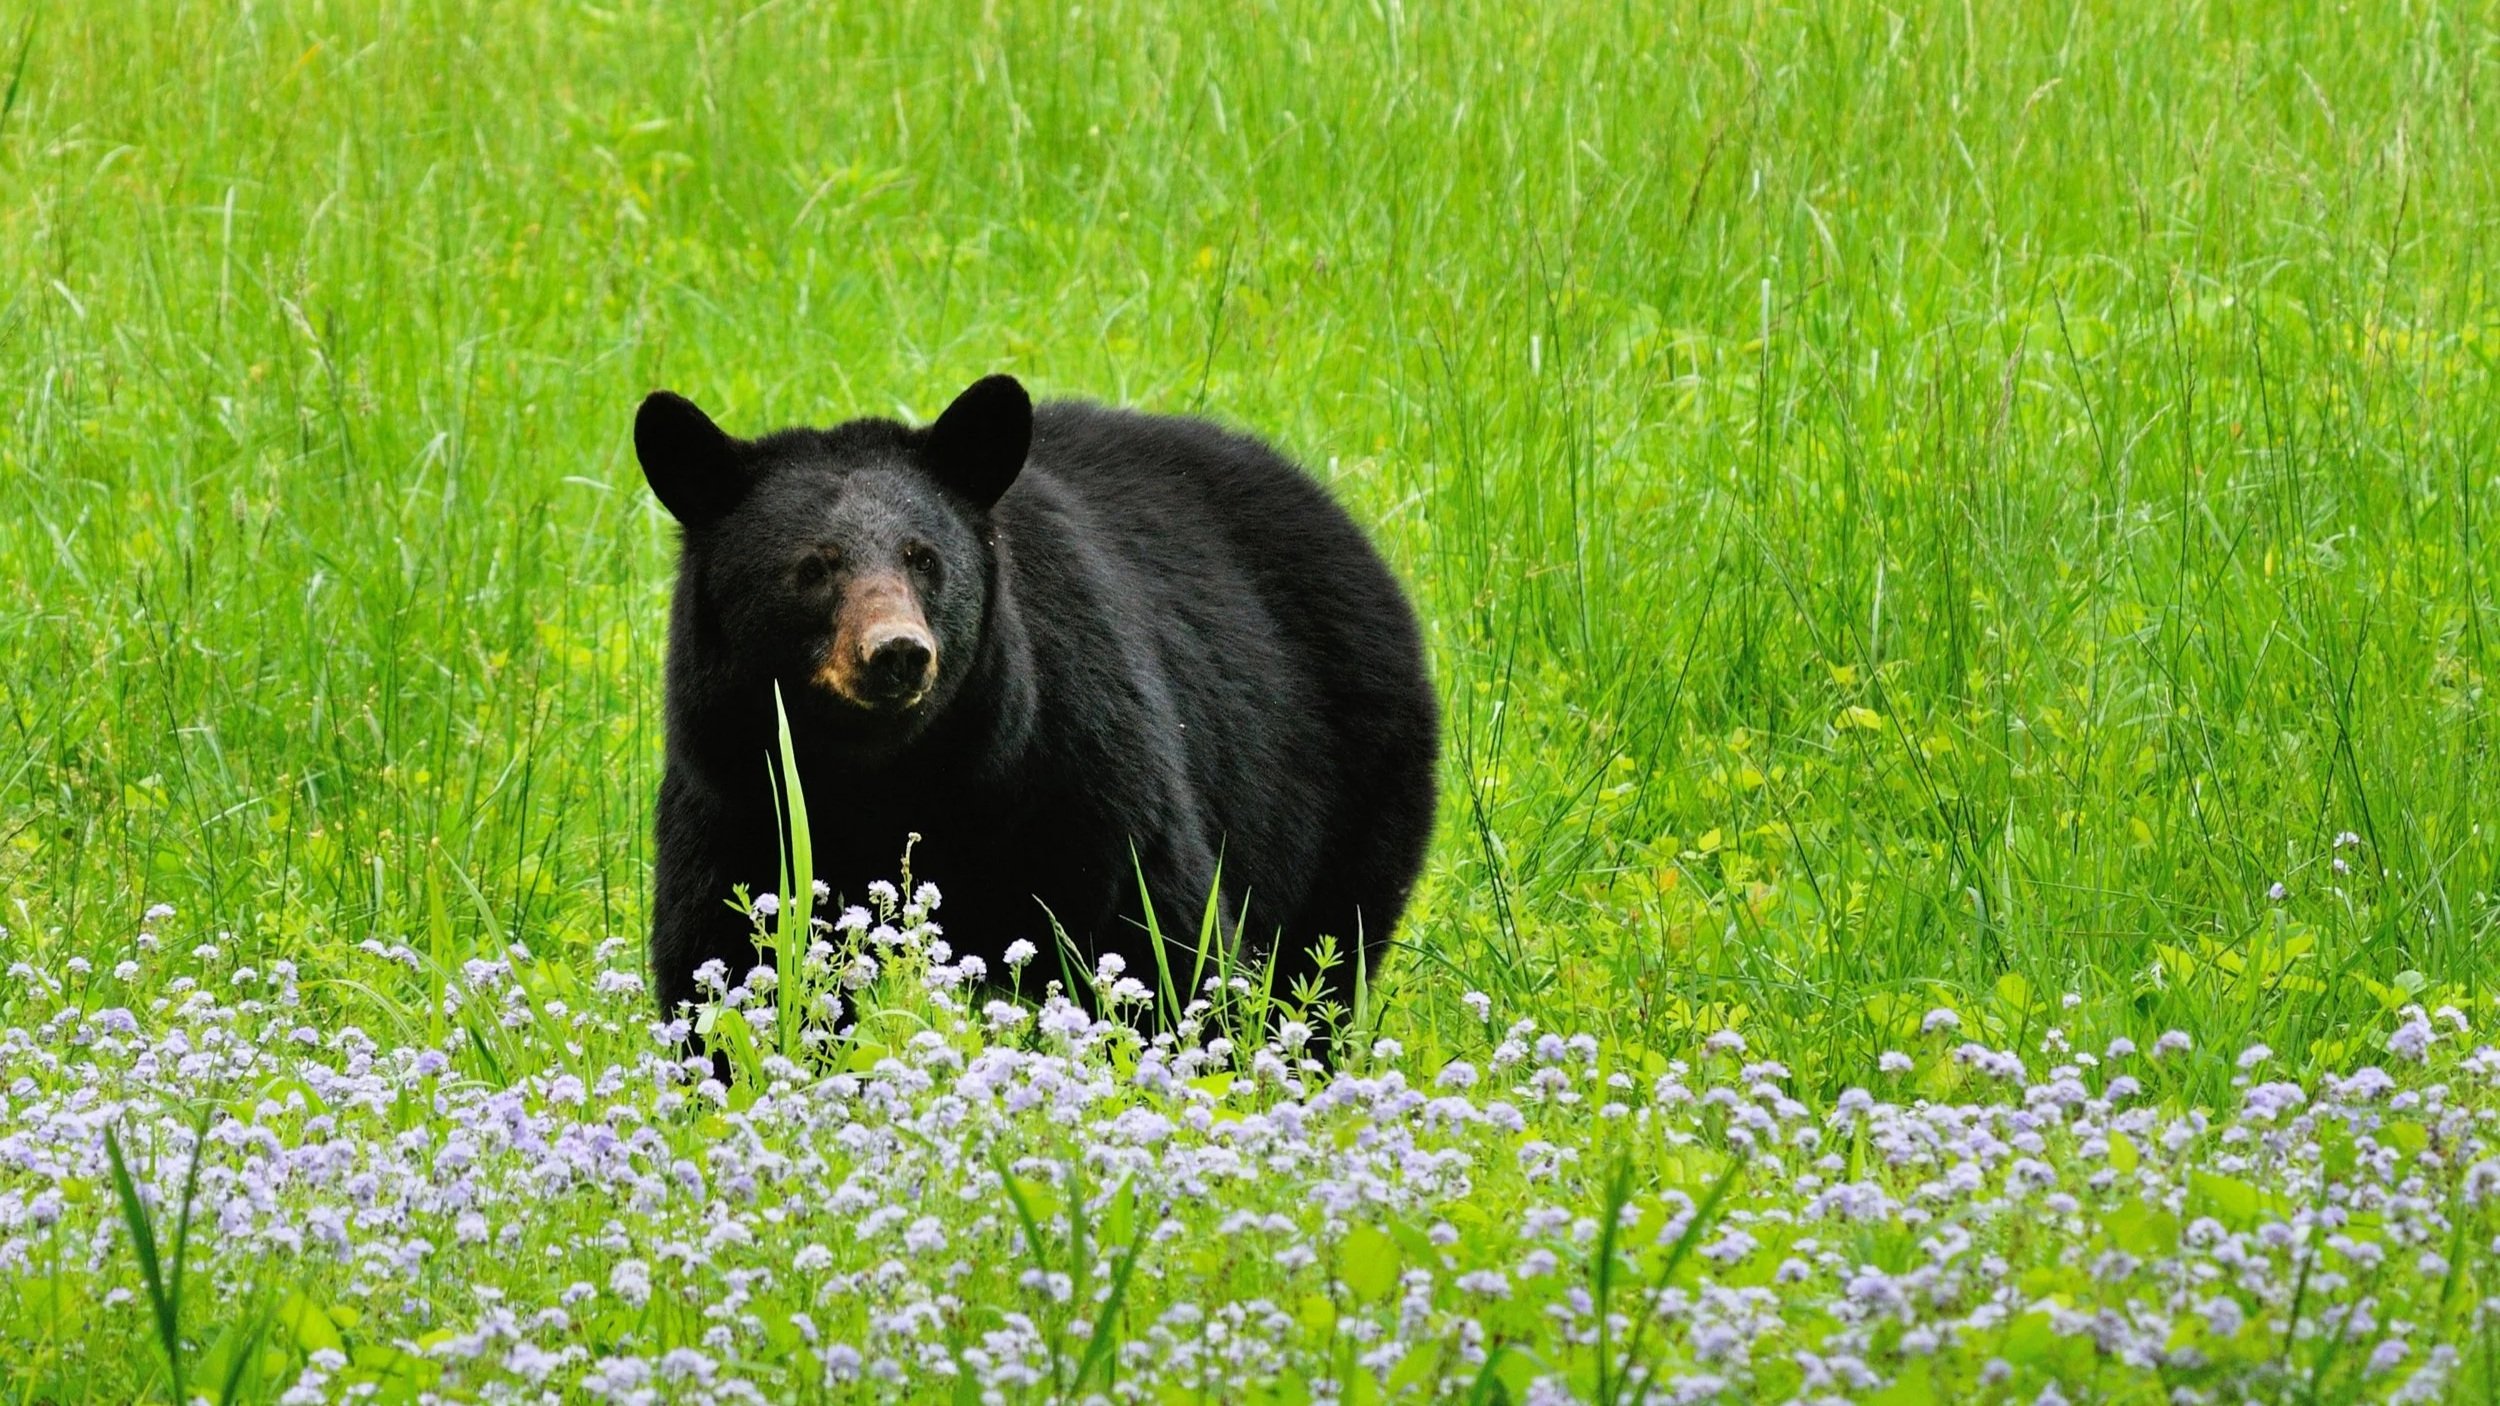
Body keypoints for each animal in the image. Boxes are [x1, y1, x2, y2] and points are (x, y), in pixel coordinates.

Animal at [634, 373, 1438, 1056]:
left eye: (924, 558)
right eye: (813, 567)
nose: (897, 652)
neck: (886, 774)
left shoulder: (1076, 762)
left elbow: (1160, 937)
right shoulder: (736, 793)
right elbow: (728, 959)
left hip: (1352, 784)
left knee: (1325, 952)